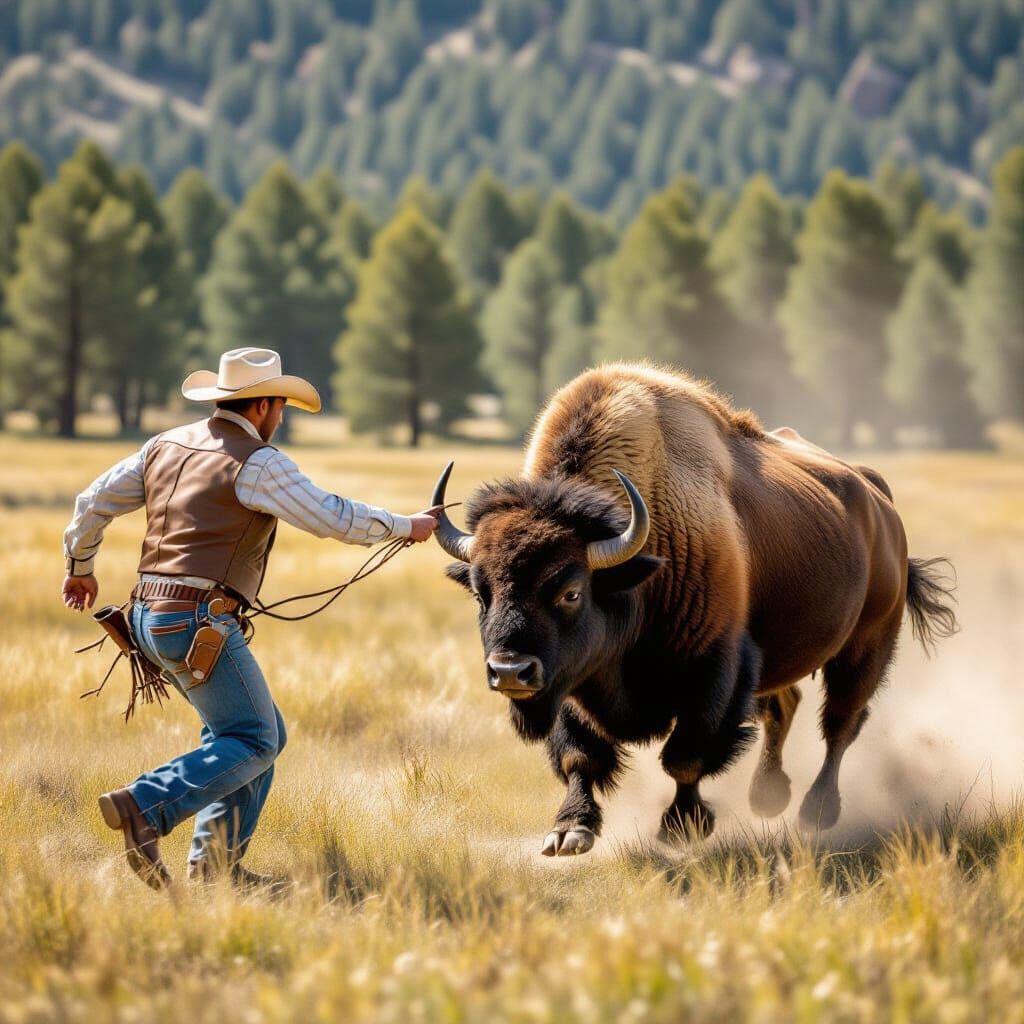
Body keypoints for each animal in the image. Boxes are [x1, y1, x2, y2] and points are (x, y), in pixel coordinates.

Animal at [433, 363, 957, 855]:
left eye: (571, 592)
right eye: (480, 593)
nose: (510, 672)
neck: (638, 567)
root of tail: (878, 499)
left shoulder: (713, 670)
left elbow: (685, 755)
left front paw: (681, 827)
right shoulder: (571, 682)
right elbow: (579, 756)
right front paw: (569, 832)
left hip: (867, 644)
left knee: (840, 724)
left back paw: (816, 812)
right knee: (784, 708)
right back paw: (767, 796)